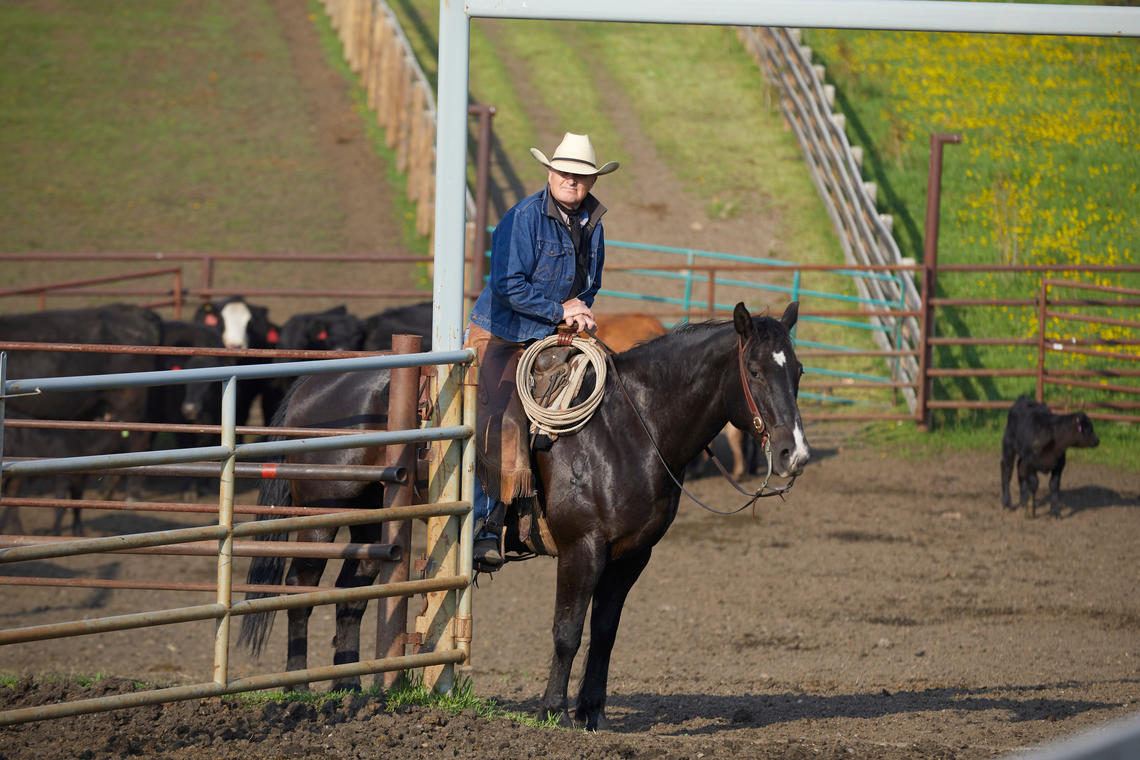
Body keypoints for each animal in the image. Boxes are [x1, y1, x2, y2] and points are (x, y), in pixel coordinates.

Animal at [513, 300, 807, 729]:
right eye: (754, 370)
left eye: (798, 370)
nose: (795, 454)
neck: (623, 429)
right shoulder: (580, 548)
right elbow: (567, 630)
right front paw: (553, 712)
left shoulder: (632, 553)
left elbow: (604, 630)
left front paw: (592, 713)